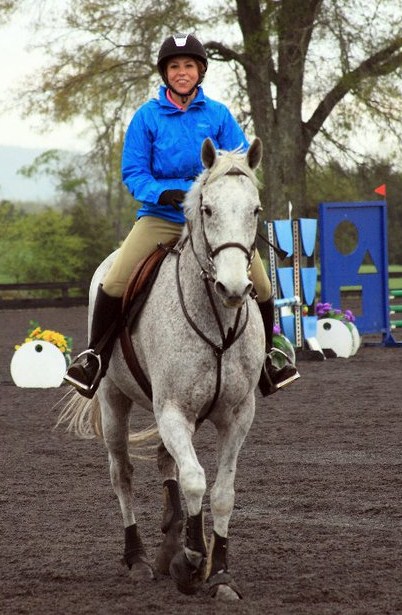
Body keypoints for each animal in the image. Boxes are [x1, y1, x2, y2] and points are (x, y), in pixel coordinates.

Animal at [58, 138, 266, 600]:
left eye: (256, 210)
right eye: (207, 209)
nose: (233, 288)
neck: (216, 318)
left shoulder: (239, 416)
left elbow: (221, 491)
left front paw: (219, 573)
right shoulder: (171, 411)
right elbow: (195, 480)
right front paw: (192, 560)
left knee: (164, 463)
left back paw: (169, 542)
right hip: (114, 402)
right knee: (123, 474)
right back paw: (137, 558)